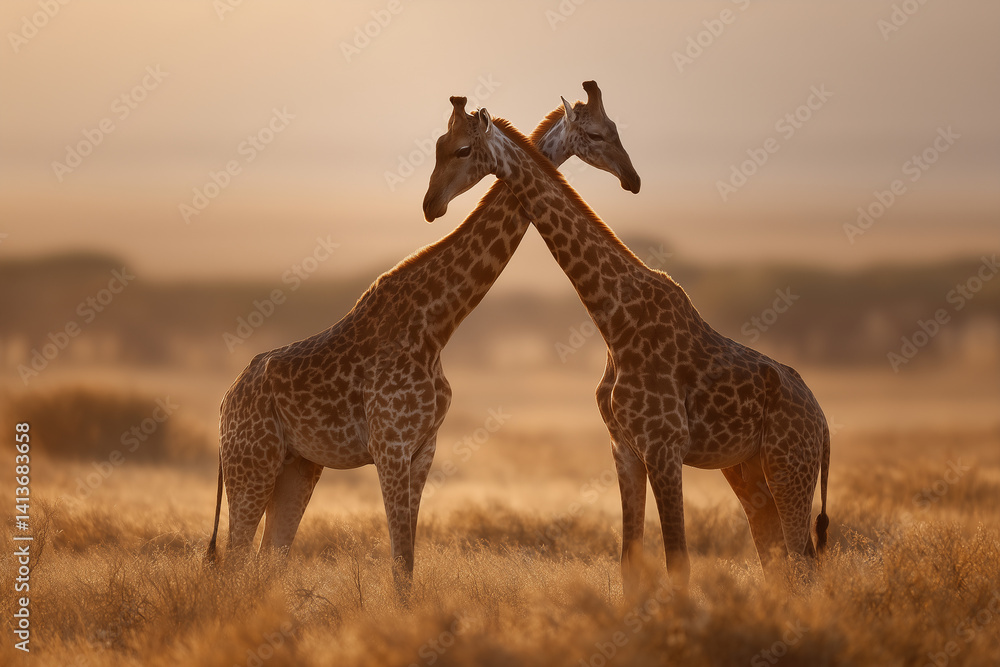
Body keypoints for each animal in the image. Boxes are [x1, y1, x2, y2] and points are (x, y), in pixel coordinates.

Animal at [206, 82, 641, 591]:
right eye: (596, 133)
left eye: (613, 128)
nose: (632, 178)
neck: (434, 327)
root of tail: (225, 403)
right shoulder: (390, 447)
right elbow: (398, 561)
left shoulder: (423, 448)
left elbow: (407, 563)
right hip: (252, 462)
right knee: (235, 559)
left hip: (298, 465)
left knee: (269, 556)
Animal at [422, 98, 830, 594]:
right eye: (440, 144)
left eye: (462, 149)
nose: (431, 205)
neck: (614, 320)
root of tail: (823, 422)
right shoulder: (624, 447)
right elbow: (630, 562)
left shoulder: (664, 446)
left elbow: (678, 561)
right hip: (749, 469)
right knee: (778, 561)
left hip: (790, 466)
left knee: (801, 563)